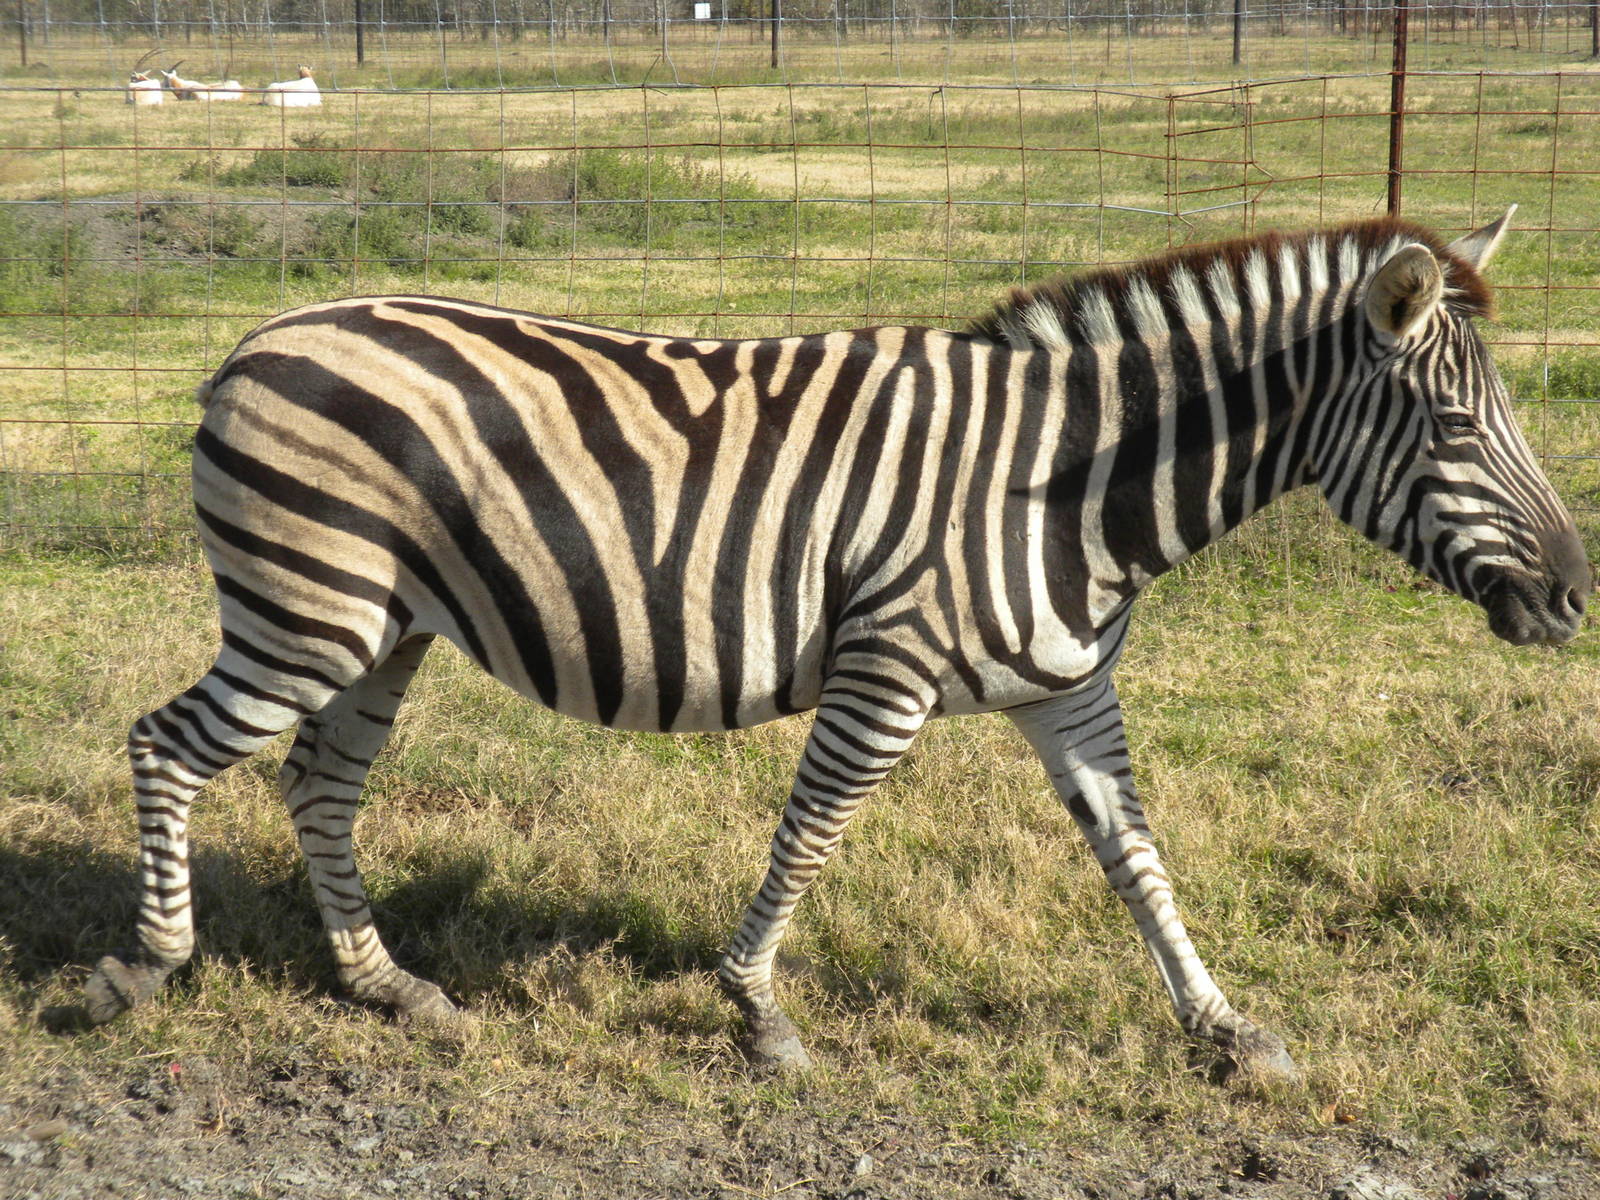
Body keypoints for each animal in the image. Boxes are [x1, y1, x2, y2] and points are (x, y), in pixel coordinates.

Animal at [84, 209, 1589, 1081]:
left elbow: (1137, 855)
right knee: (167, 747)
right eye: (1458, 429)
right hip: (306, 608)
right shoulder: (888, 668)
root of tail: (260, 335)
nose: (1578, 598)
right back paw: (144, 970)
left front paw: (1222, 1027)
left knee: (316, 784)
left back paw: (389, 988)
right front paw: (758, 1015)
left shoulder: (1069, 690)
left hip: (382, 628)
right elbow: (808, 837)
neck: (1064, 484)